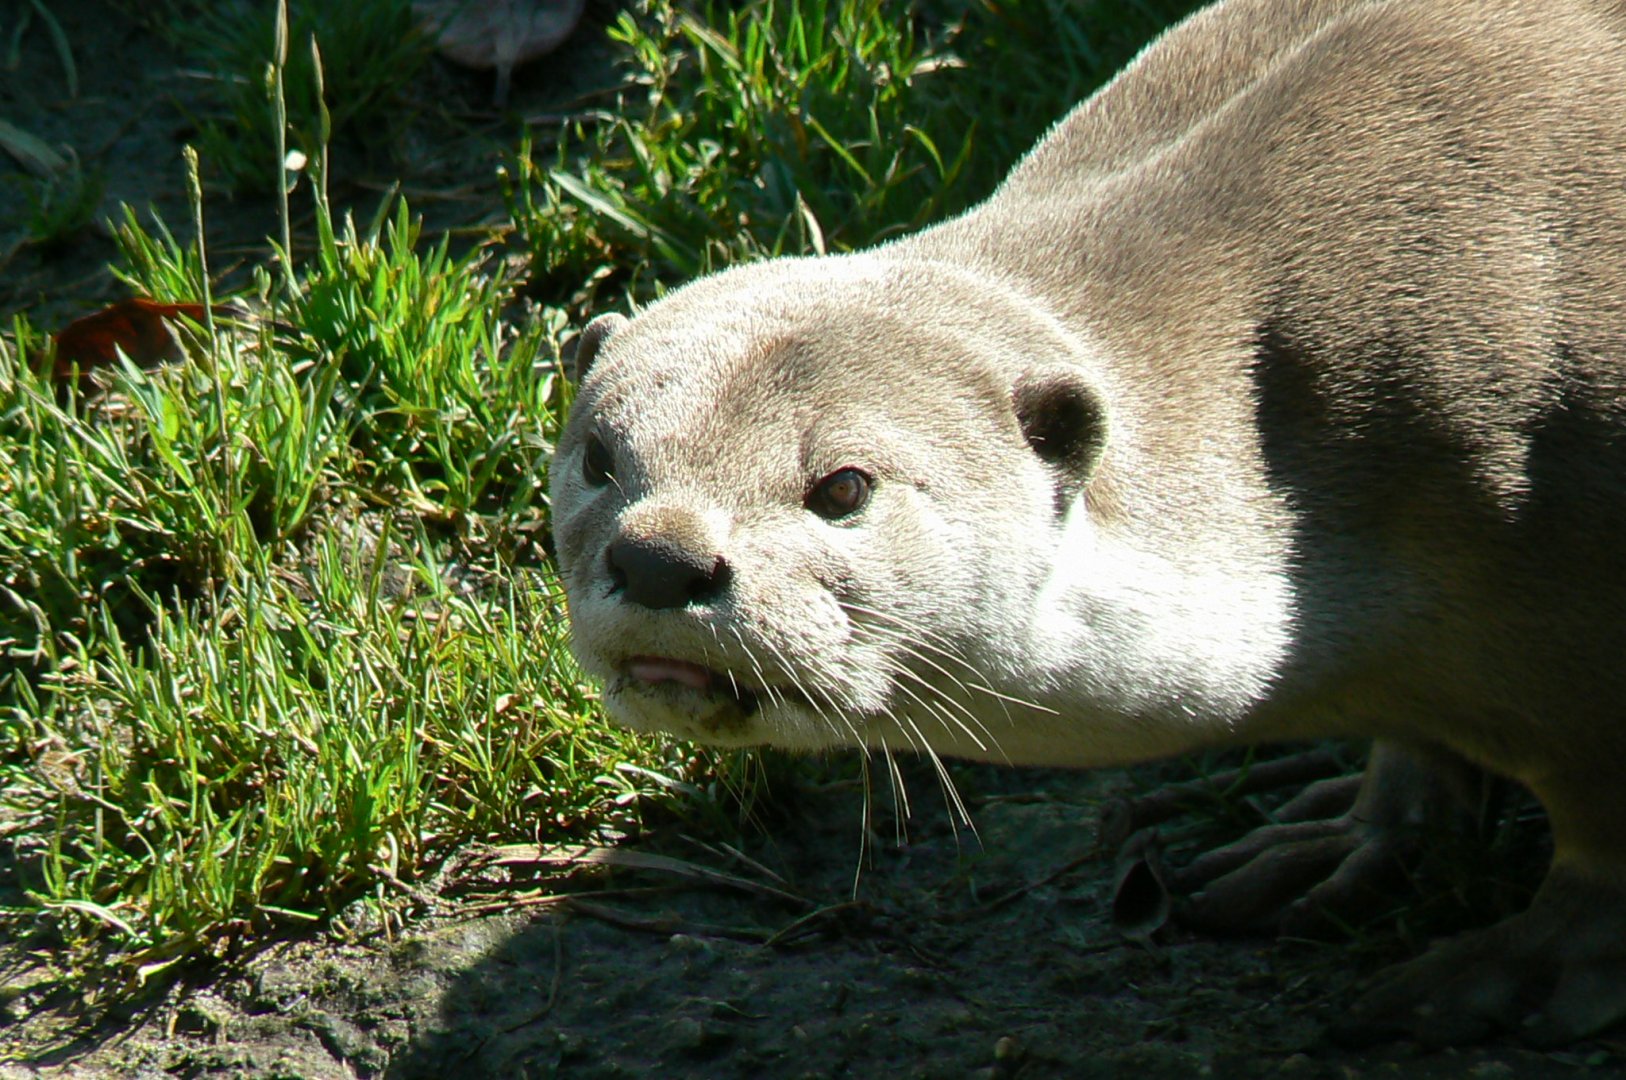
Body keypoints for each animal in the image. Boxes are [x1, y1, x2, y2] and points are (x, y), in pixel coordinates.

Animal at [550, 0, 1626, 1045]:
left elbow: (1597, 841)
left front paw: (1521, 974)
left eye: (844, 487)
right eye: (600, 459)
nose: (659, 560)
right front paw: (1357, 840)